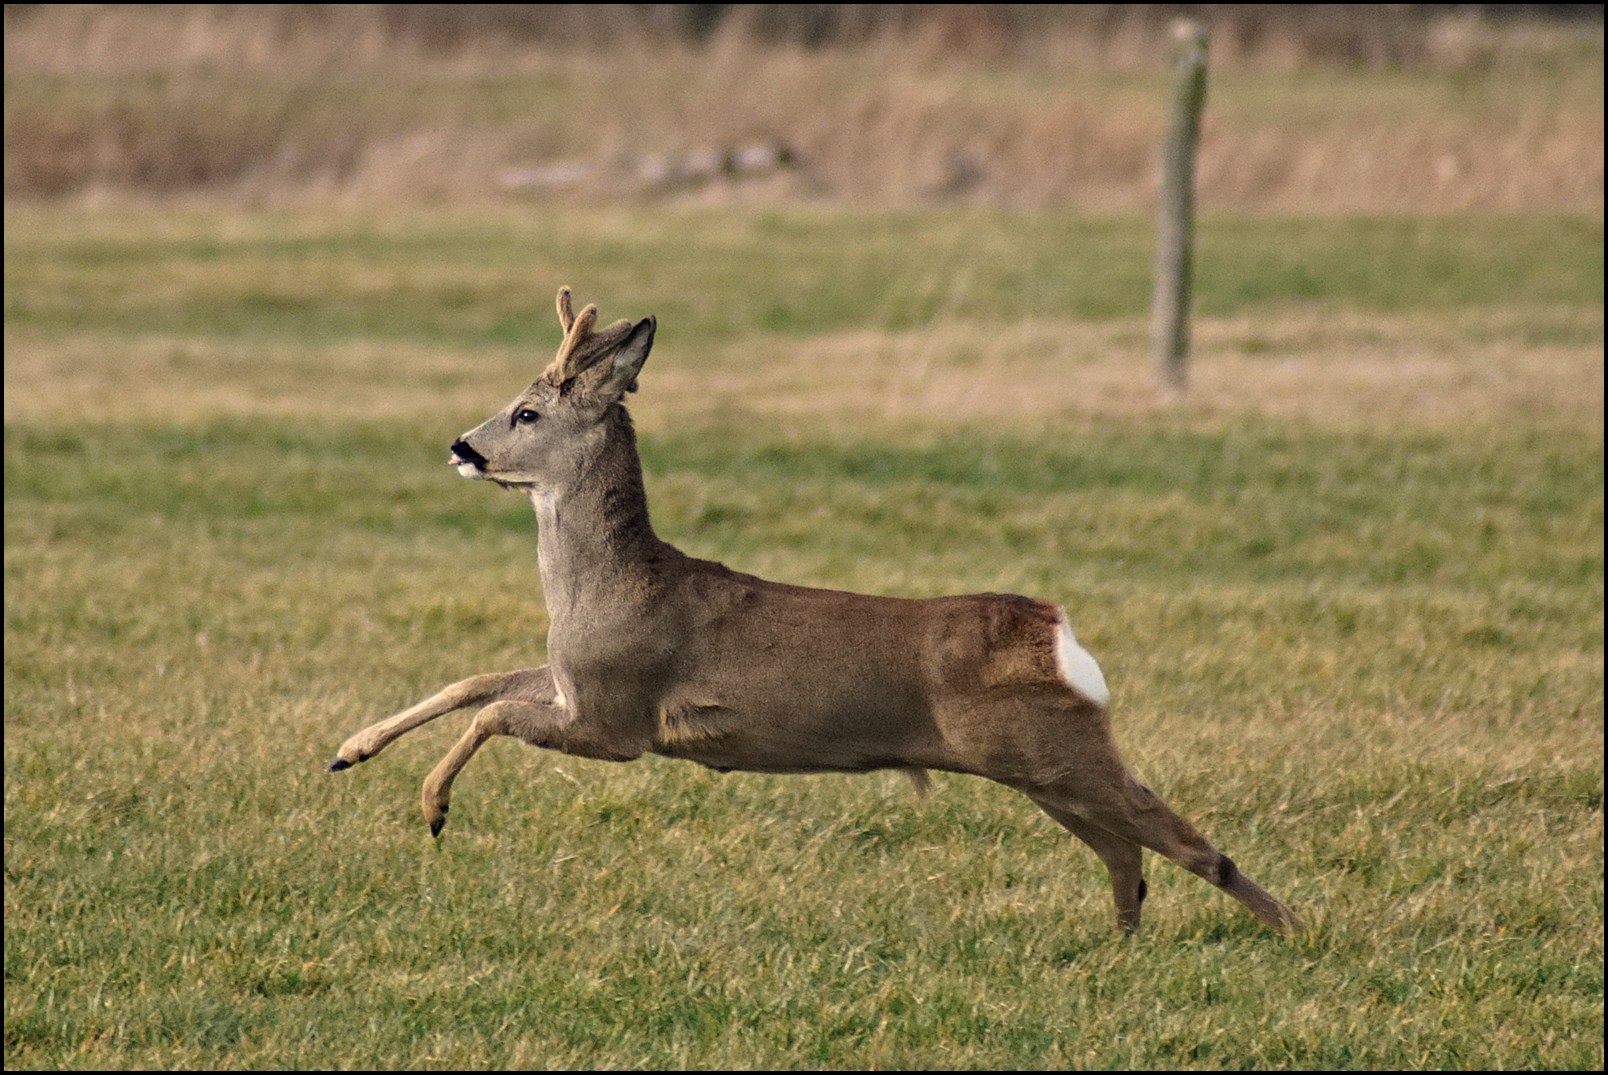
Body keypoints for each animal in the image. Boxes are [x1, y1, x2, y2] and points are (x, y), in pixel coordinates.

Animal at [332, 289, 1299, 931]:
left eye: (527, 412)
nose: (461, 446)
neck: (611, 587)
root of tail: (1056, 631)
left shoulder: (620, 714)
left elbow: (494, 708)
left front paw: (431, 806)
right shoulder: (577, 680)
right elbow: (475, 678)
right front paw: (349, 749)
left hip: (1051, 748)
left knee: (1181, 838)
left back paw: (1296, 929)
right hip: (1038, 762)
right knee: (1127, 848)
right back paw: (1131, 931)